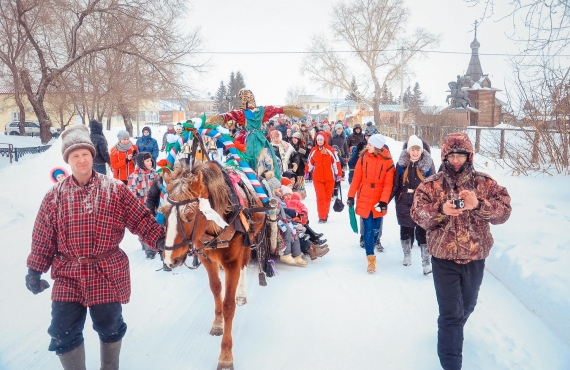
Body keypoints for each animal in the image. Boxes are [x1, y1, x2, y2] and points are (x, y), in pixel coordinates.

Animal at [159, 162, 268, 370]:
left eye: (189, 215)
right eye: (164, 212)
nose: (169, 259)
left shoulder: (232, 262)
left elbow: (229, 305)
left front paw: (225, 354)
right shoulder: (206, 259)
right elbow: (216, 288)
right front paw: (218, 322)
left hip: (248, 241)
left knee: (244, 265)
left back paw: (241, 293)